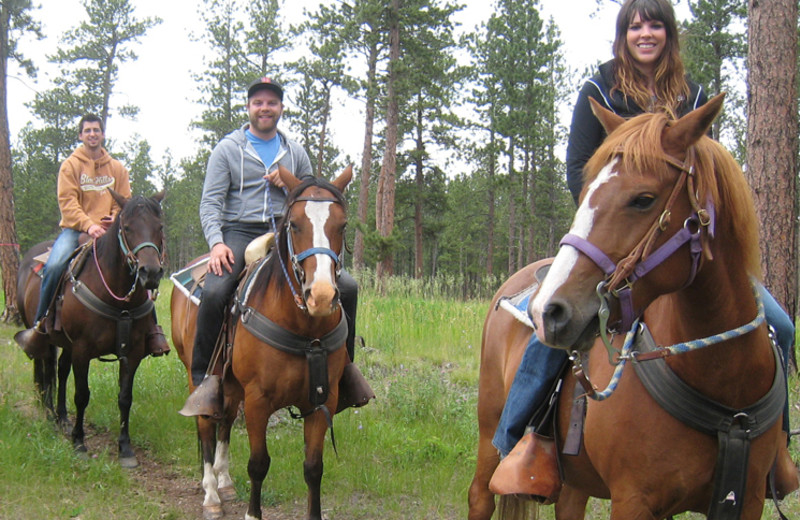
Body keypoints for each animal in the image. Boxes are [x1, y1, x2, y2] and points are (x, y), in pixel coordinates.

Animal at [15, 191, 166, 468]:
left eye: (159, 227)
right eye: (127, 228)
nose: (149, 272)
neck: (118, 298)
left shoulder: (132, 352)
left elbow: (125, 397)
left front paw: (125, 448)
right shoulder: (83, 350)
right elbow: (82, 394)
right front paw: (79, 442)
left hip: (66, 343)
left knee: (60, 370)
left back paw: (62, 418)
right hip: (43, 335)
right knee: (44, 366)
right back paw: (49, 413)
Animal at [172, 167, 350, 520]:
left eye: (343, 225)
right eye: (294, 224)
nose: (322, 296)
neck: (305, 330)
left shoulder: (323, 399)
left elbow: (314, 468)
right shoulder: (257, 399)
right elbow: (258, 464)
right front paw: (252, 513)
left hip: (231, 384)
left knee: (225, 419)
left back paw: (225, 481)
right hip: (198, 376)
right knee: (206, 423)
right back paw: (211, 493)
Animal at [466, 94, 792, 520]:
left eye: (643, 199)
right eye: (586, 192)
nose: (546, 311)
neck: (724, 381)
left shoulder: (747, 500)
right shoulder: (633, 499)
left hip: (575, 480)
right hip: (489, 433)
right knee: (480, 495)